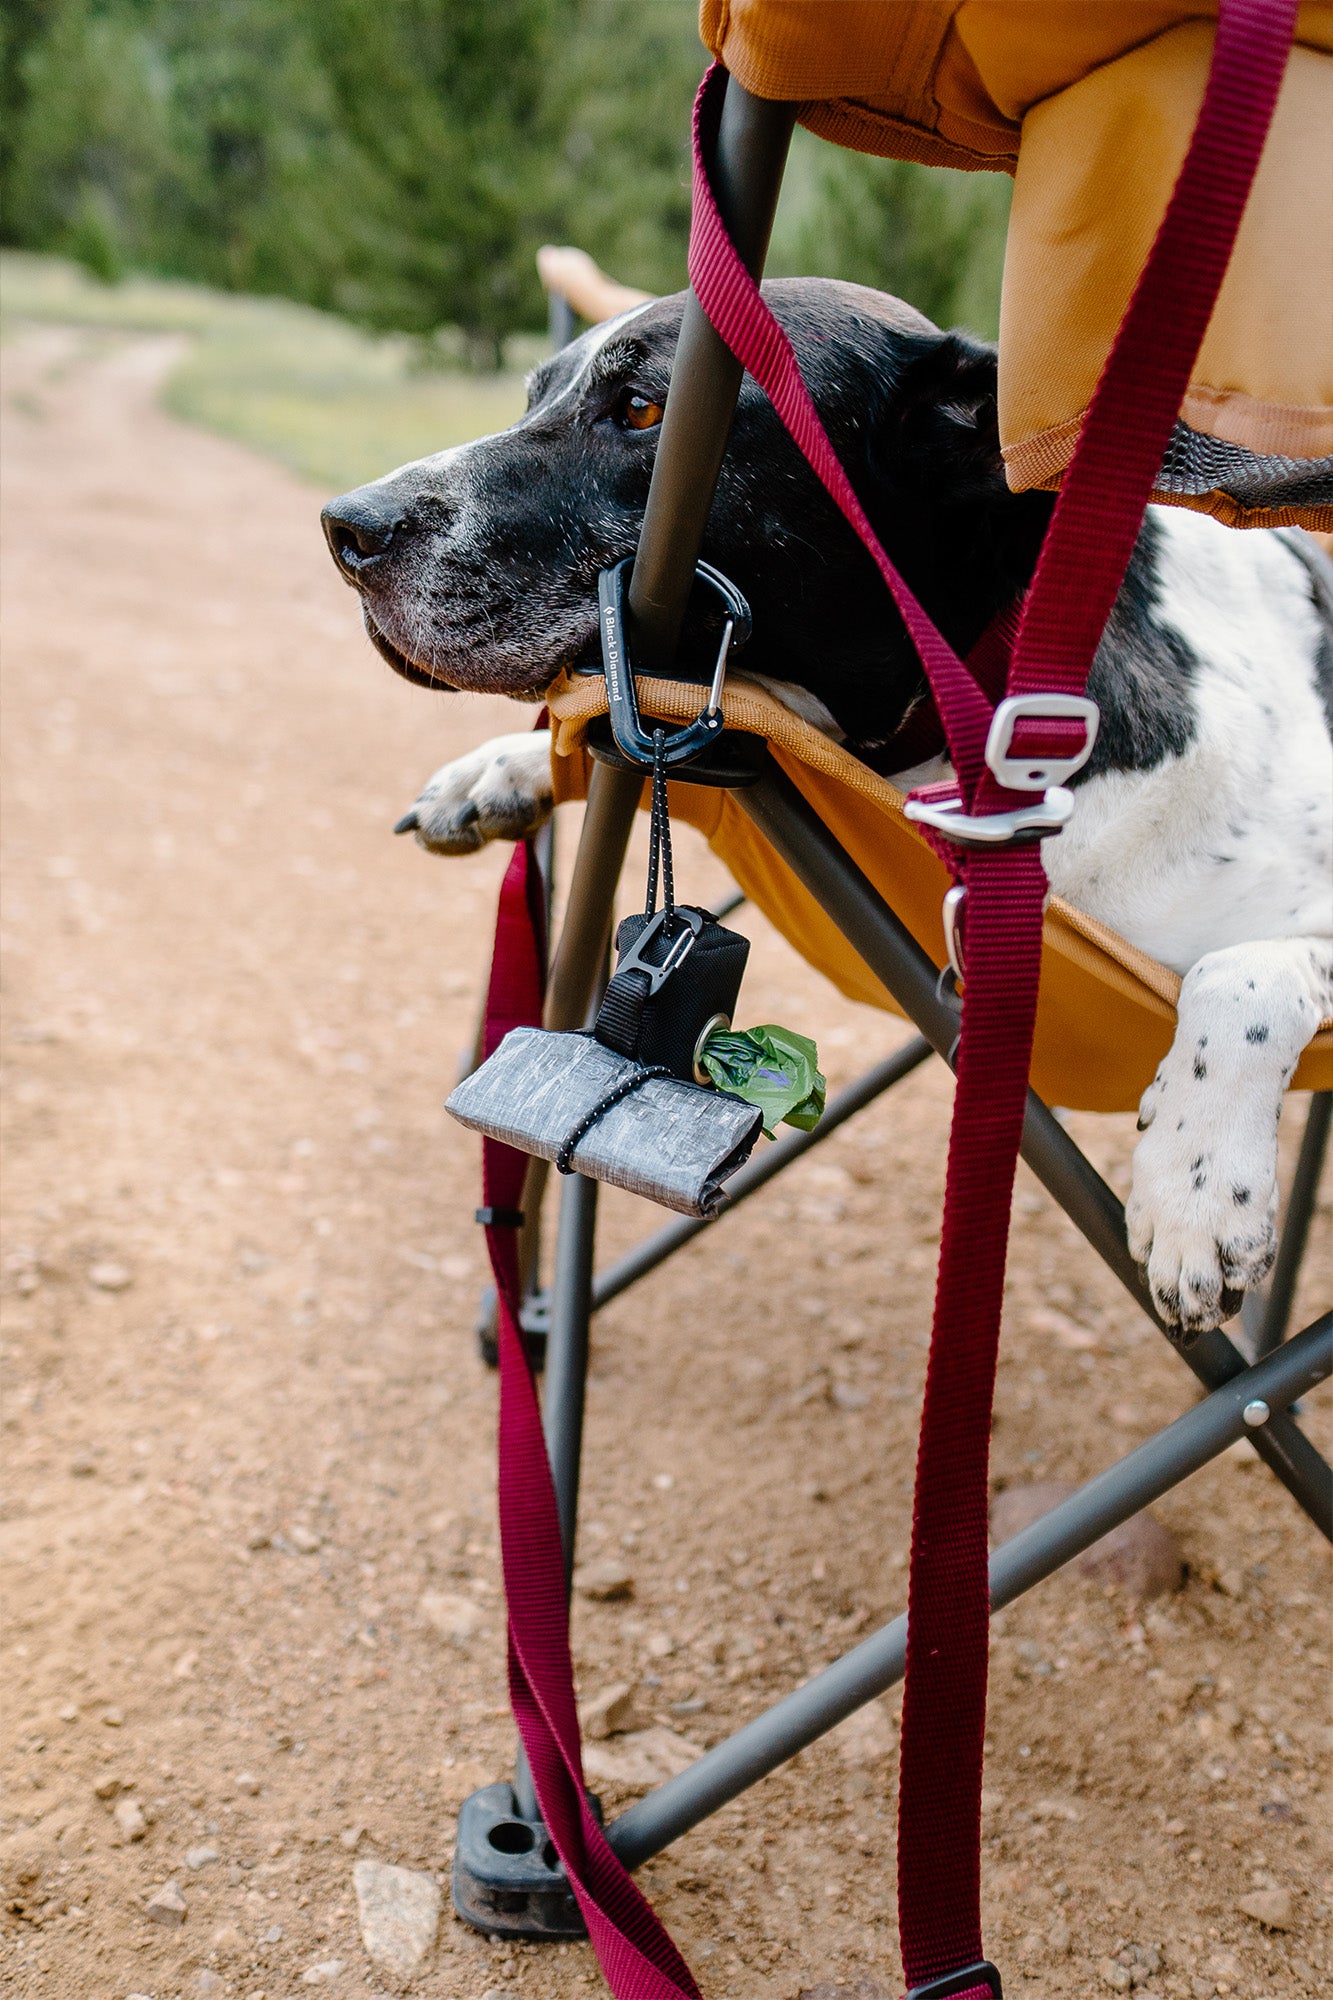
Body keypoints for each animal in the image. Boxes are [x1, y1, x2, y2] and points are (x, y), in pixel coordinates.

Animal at [322, 282, 1328, 1336]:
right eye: (533, 398)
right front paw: (501, 765)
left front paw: (1197, 1185)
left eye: (642, 409)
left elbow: (1244, 972)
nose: (344, 528)